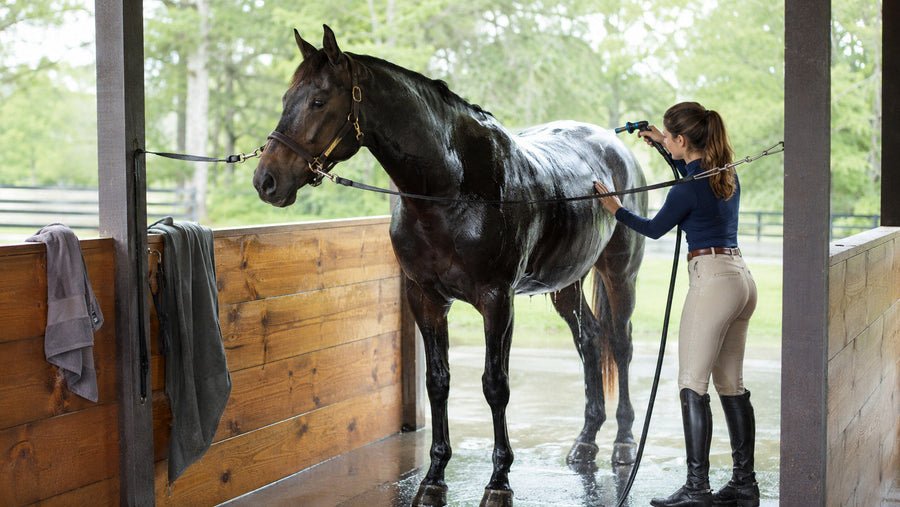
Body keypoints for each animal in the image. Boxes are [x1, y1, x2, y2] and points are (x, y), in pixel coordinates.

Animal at [252, 25, 647, 507]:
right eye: (288, 97)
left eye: (318, 100)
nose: (266, 180)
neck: (452, 188)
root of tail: (614, 145)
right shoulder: (425, 297)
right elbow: (437, 381)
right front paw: (433, 477)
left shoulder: (497, 300)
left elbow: (495, 385)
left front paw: (499, 482)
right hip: (564, 284)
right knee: (590, 341)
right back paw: (586, 442)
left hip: (620, 273)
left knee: (620, 344)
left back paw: (624, 443)